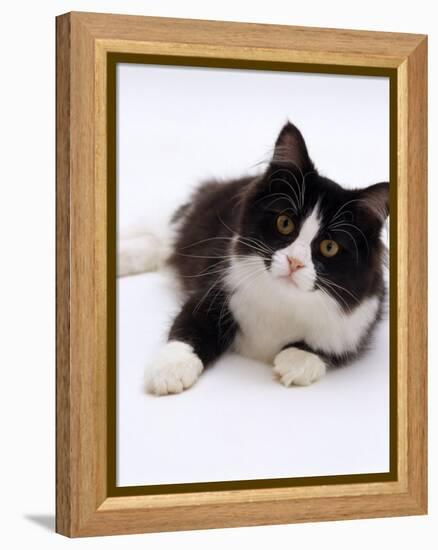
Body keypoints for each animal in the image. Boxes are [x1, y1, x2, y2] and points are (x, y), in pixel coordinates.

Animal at [118, 121, 388, 396]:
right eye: (285, 223)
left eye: (329, 247)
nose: (295, 262)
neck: (284, 300)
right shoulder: (215, 289)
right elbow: (189, 328)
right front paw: (170, 369)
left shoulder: (357, 324)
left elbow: (329, 347)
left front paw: (297, 361)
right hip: (180, 224)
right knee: (156, 238)